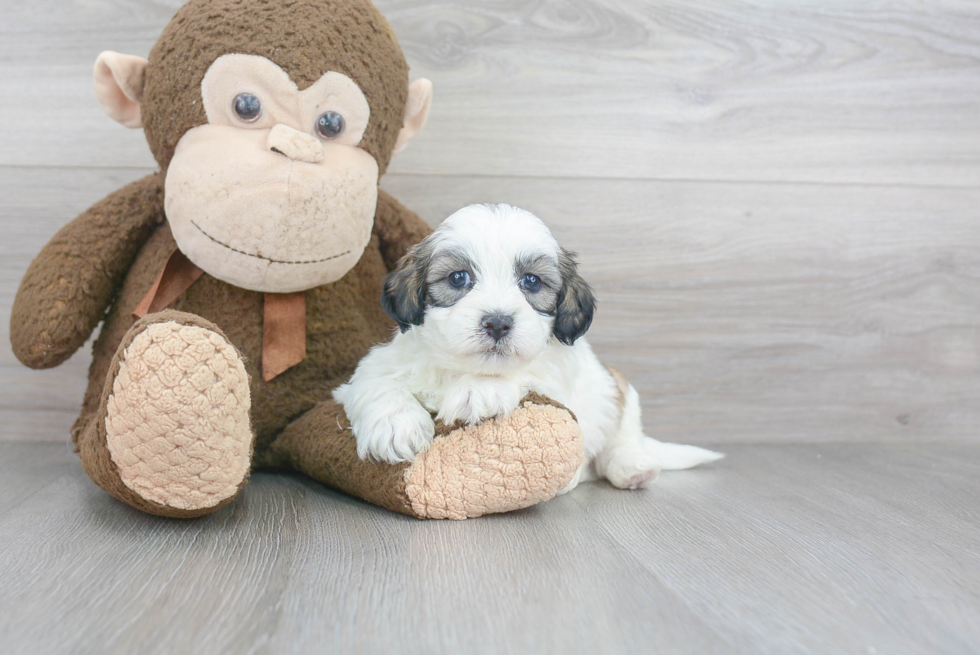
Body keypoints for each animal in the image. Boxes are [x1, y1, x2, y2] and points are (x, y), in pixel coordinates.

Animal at [334, 205, 724, 492]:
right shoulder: (376, 365)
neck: (460, 369)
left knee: (622, 436)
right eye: (458, 278)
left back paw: (632, 467)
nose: (497, 323)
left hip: (619, 388)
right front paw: (394, 426)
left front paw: (480, 390)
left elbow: (526, 374)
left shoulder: (562, 380)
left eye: (531, 282)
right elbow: (377, 382)